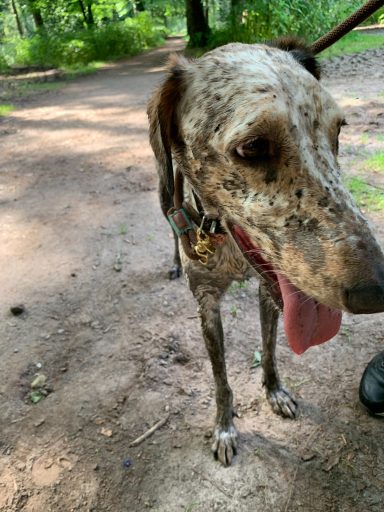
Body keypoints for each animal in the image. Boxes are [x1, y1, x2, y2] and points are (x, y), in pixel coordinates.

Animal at [146, 38, 384, 466]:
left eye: (338, 130)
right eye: (253, 146)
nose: (376, 293)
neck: (226, 242)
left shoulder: (269, 293)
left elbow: (271, 349)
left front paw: (275, 391)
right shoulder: (207, 304)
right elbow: (221, 379)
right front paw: (224, 427)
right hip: (163, 187)